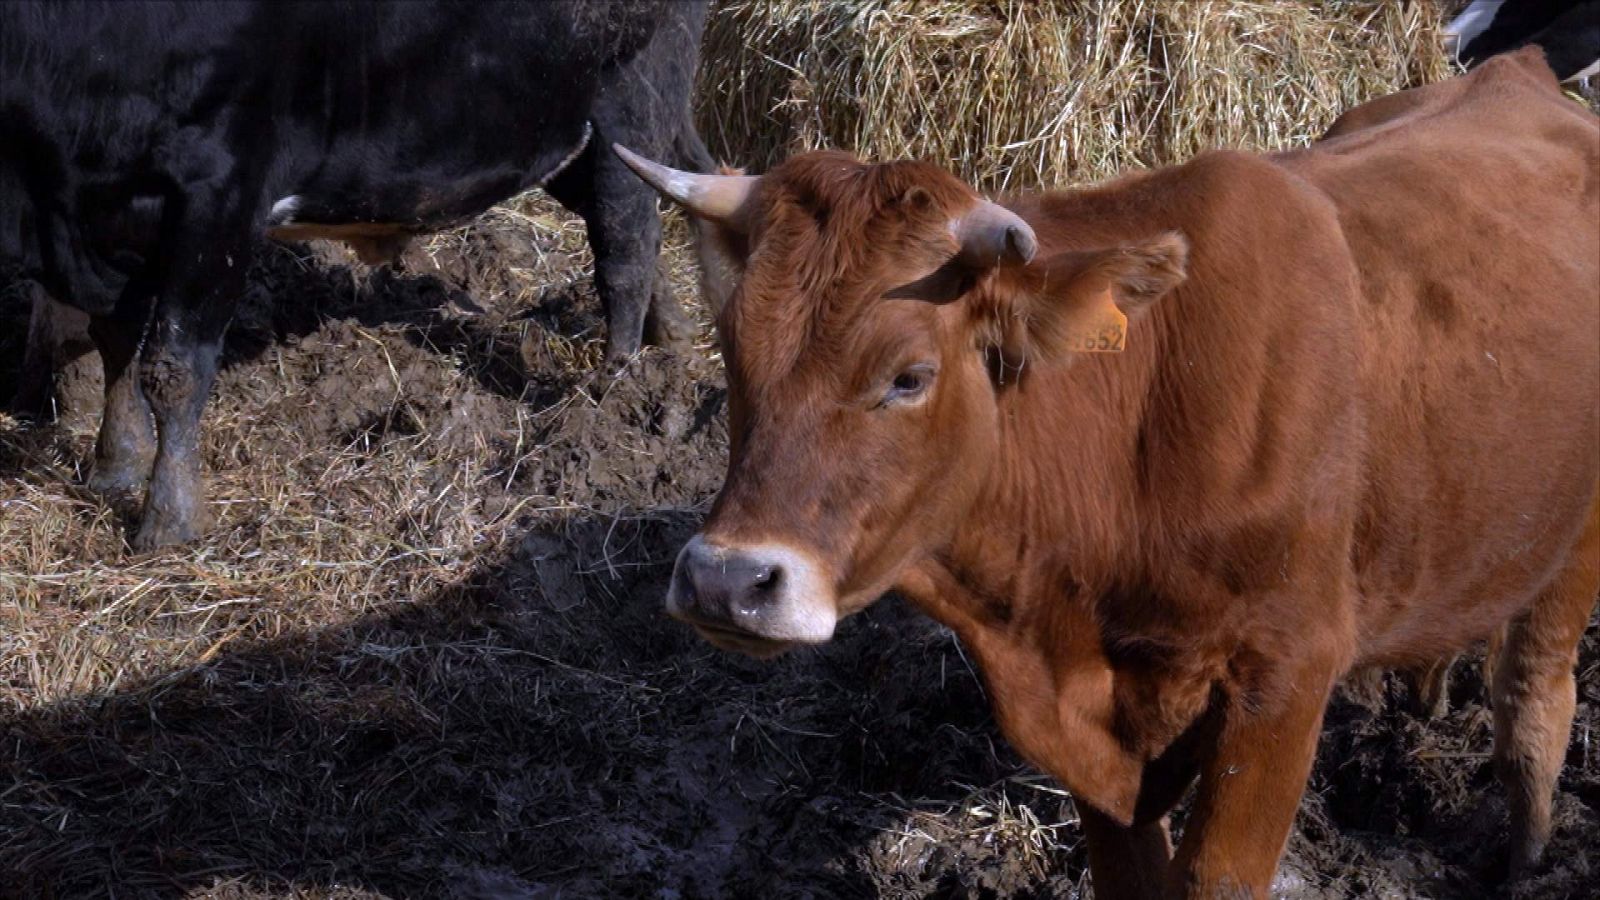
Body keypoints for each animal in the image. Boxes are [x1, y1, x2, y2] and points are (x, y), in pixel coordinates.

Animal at [0, 1, 713, 547]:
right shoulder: (112, 219)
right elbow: (116, 343)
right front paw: (113, 467)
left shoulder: (219, 192)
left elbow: (172, 369)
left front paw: (166, 522)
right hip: (563, 134)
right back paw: (671, 344)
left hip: (632, 100)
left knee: (626, 247)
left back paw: (611, 392)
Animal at [614, 50, 1600, 896]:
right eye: (735, 353)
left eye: (909, 375)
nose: (727, 580)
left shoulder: (1286, 675)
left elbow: (1219, 876)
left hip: (1573, 547)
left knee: (1533, 703)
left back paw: (1525, 859)